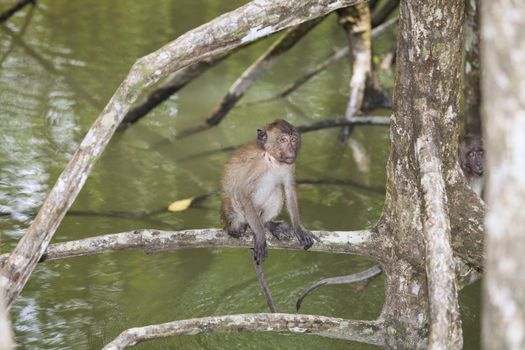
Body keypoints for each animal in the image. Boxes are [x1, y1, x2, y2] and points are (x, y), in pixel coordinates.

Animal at [220, 119, 316, 264]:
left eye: (293, 139)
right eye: (283, 140)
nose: (291, 150)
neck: (273, 159)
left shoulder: (289, 164)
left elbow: (289, 189)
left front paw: (299, 228)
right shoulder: (257, 163)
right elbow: (243, 191)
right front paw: (260, 235)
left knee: (278, 190)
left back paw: (268, 224)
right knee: (232, 199)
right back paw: (236, 229)